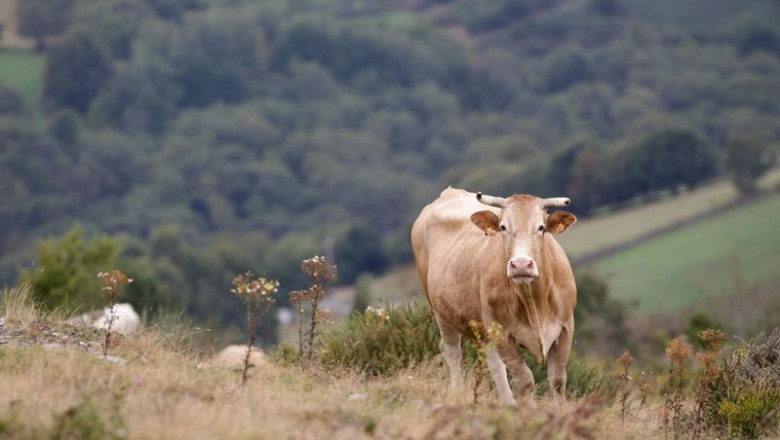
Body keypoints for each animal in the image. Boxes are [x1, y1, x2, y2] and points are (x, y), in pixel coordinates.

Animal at [411, 187, 577, 406]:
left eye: (541, 227)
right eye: (503, 227)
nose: (521, 265)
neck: (534, 302)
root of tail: (450, 192)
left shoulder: (566, 327)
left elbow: (557, 380)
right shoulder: (502, 333)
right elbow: (525, 380)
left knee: (493, 363)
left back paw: (508, 404)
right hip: (441, 312)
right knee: (452, 352)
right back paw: (459, 396)